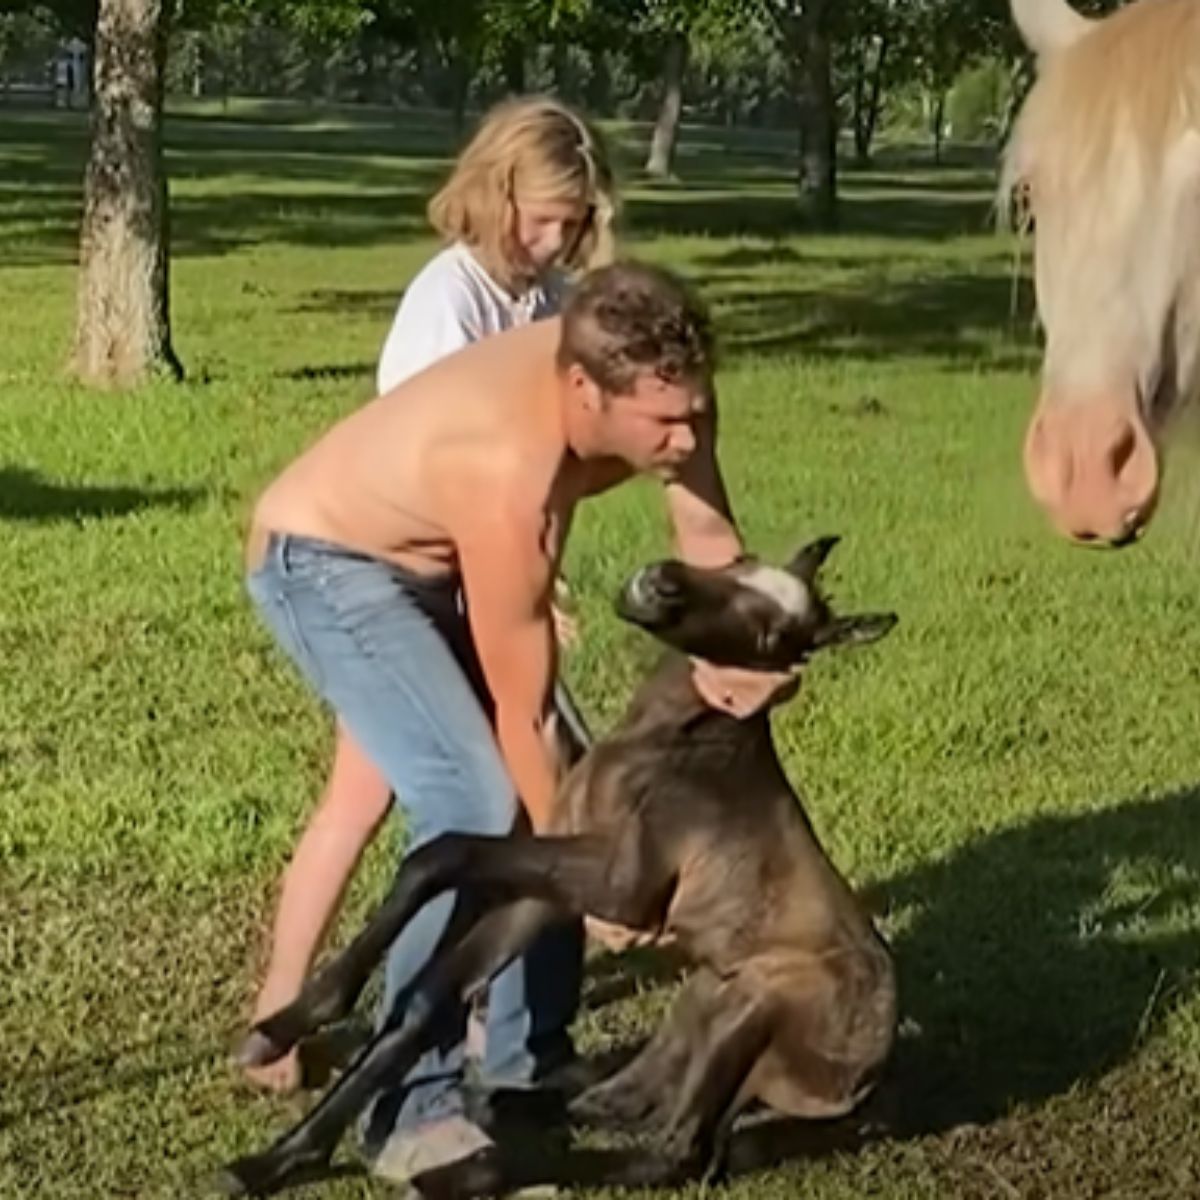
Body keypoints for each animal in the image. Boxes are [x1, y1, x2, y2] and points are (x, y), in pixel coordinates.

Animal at [223, 537, 902, 1200]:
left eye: (769, 637)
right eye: (739, 560)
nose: (662, 583)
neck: (672, 741)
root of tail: (866, 1086)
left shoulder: (622, 889)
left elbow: (441, 855)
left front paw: (296, 1034)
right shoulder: (552, 893)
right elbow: (427, 995)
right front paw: (276, 1135)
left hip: (755, 1007)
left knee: (677, 1152)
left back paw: (466, 1173)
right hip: (705, 1000)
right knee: (621, 1102)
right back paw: (500, 1107)